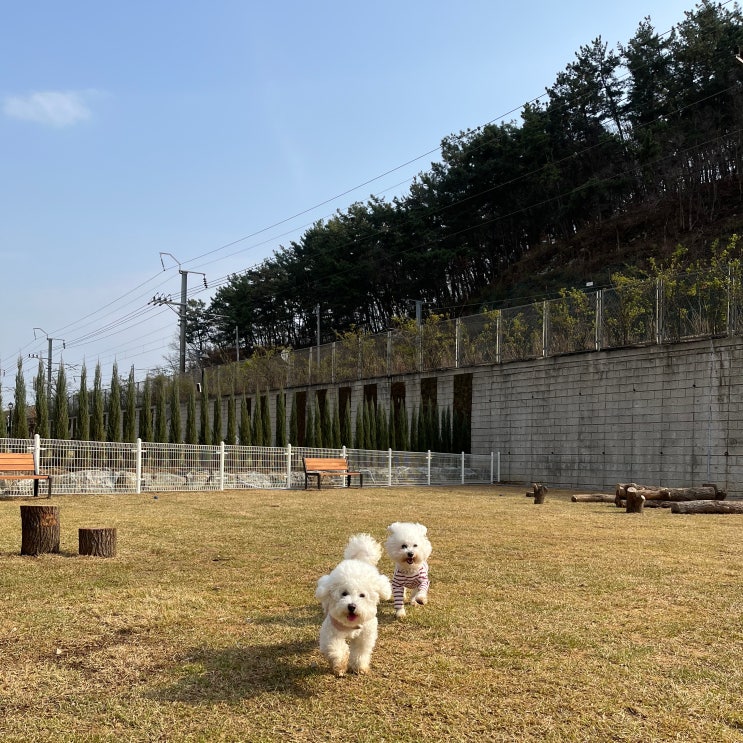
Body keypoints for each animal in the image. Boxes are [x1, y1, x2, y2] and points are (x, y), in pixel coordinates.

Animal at [316, 532, 392, 676]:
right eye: (344, 593)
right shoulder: (330, 633)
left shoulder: (365, 635)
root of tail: (359, 559)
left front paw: (359, 667)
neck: (351, 625)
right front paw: (340, 665)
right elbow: (336, 648)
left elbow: (360, 652)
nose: (351, 606)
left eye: (362, 595)